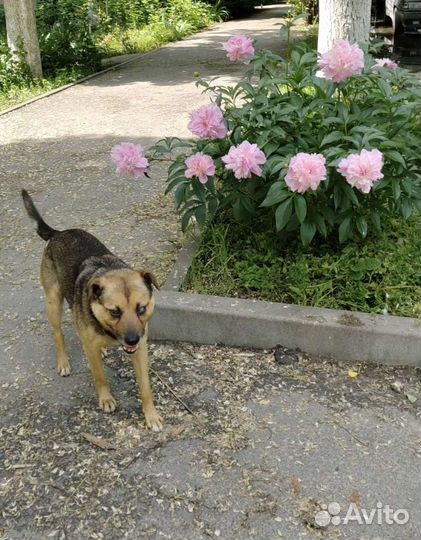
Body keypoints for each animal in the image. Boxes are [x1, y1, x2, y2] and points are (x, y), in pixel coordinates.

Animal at [20, 189, 162, 430]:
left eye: (141, 308)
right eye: (114, 311)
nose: (132, 339)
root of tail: (58, 233)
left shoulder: (141, 350)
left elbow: (145, 387)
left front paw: (151, 415)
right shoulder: (94, 352)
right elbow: (100, 377)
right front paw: (105, 399)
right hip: (53, 302)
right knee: (58, 333)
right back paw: (63, 362)